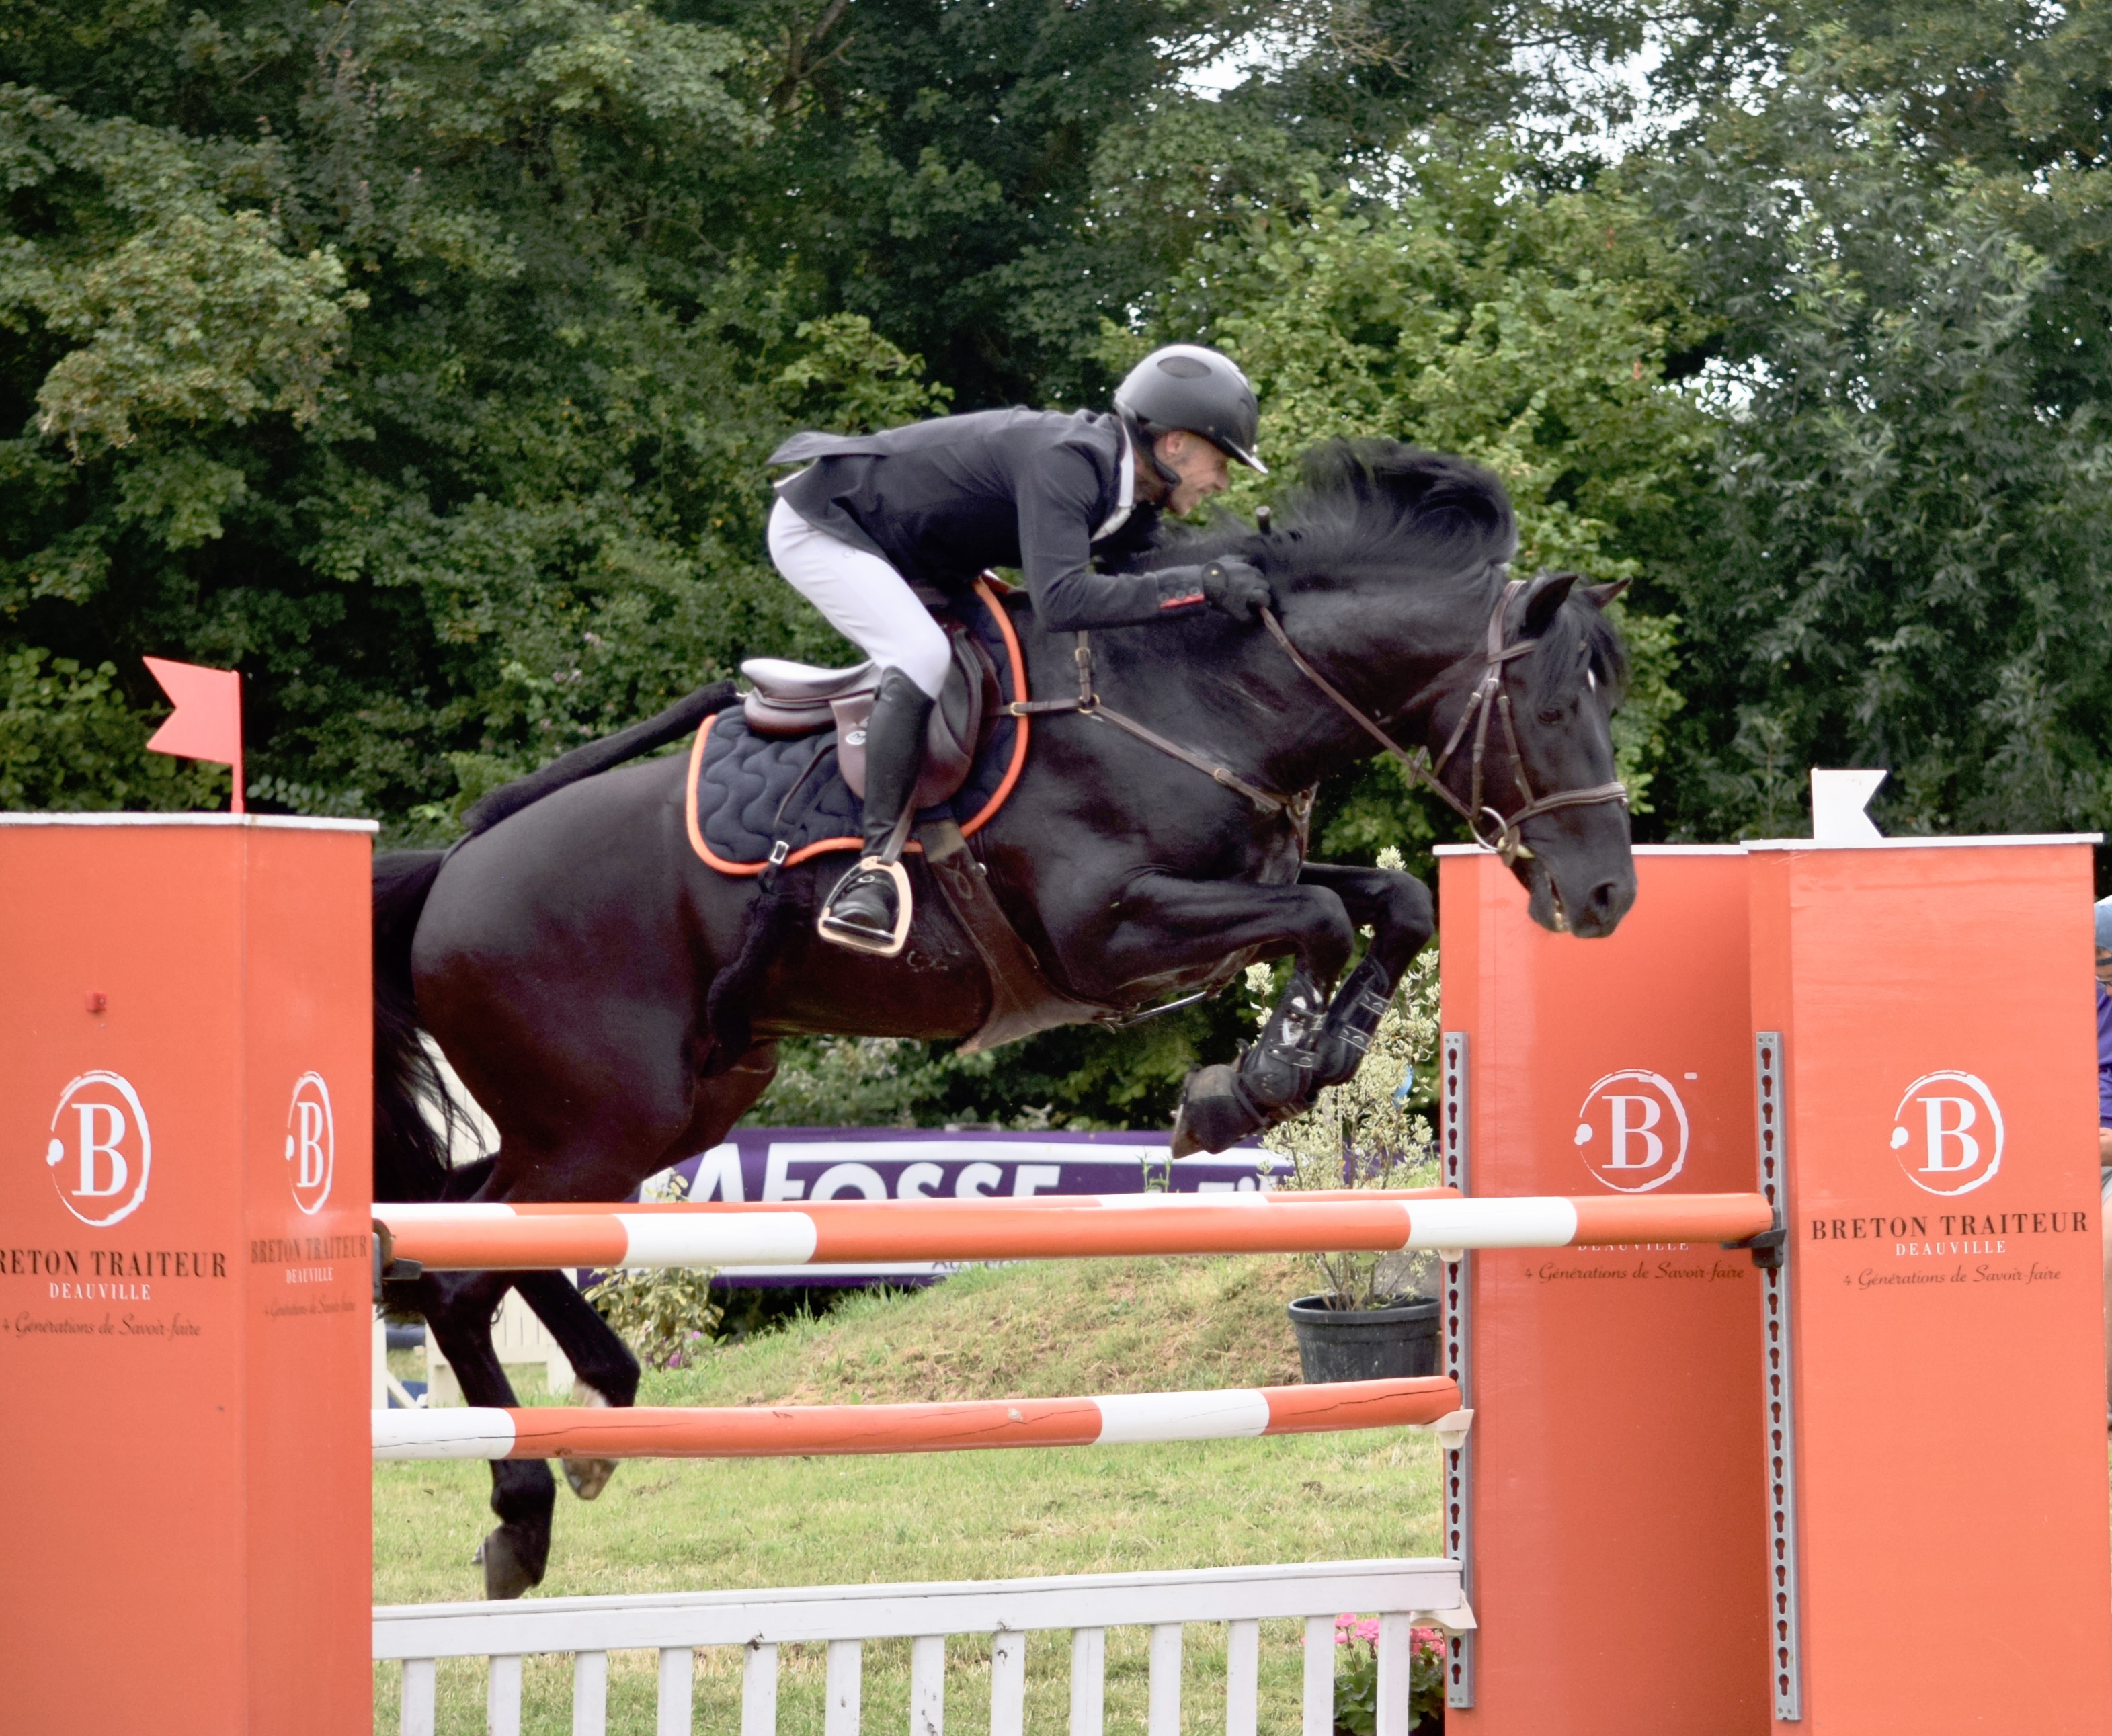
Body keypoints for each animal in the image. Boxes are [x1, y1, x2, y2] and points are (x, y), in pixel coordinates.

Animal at [373, 438, 1638, 1597]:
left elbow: (1392, 900)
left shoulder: (1233, 885)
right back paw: (527, 1504)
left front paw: (1299, 1061)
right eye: (1548, 705)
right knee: (458, 1275)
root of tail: (451, 875)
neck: (1203, 700)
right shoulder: (1107, 931)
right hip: (606, 1118)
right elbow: (1323, 916)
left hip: (672, 1102)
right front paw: (1252, 1084)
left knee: (474, 1233)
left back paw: (588, 1423)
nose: (1606, 898)